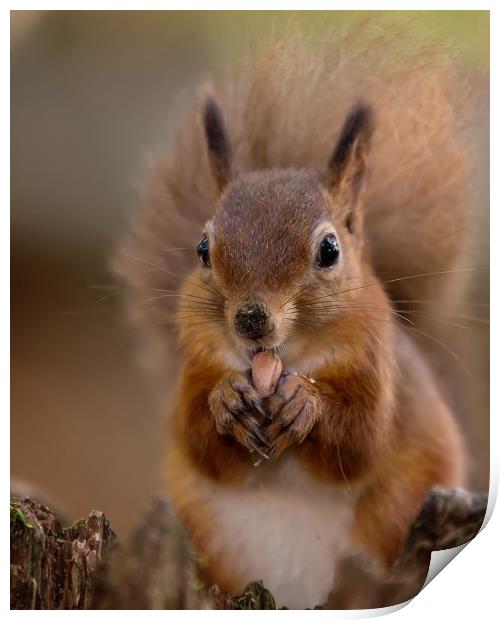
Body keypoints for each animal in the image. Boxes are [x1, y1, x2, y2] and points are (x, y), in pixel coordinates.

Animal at [115, 29, 474, 612]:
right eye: (202, 249)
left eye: (329, 250)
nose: (250, 319)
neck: (282, 362)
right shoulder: (197, 364)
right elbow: (197, 440)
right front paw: (228, 401)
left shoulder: (379, 373)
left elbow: (360, 442)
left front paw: (306, 402)